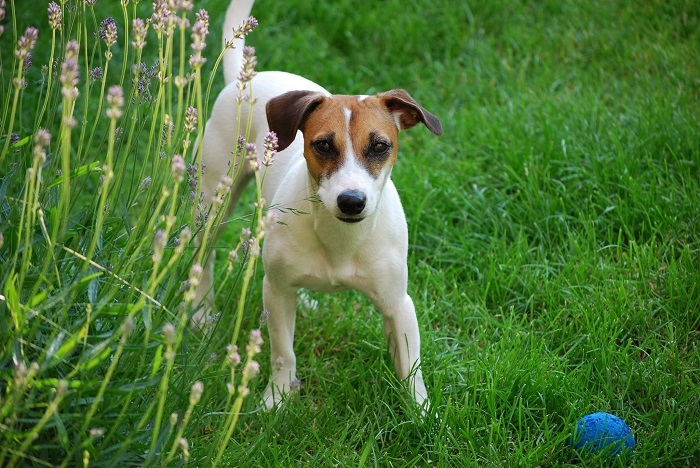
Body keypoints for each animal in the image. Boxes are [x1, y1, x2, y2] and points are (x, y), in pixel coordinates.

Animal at [191, 0, 442, 410]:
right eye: (323, 145)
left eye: (380, 146)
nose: (351, 201)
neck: (340, 239)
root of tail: (245, 78)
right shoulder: (276, 291)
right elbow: (282, 353)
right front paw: (276, 398)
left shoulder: (398, 304)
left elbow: (411, 369)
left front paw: (422, 414)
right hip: (214, 200)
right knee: (205, 257)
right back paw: (200, 314)